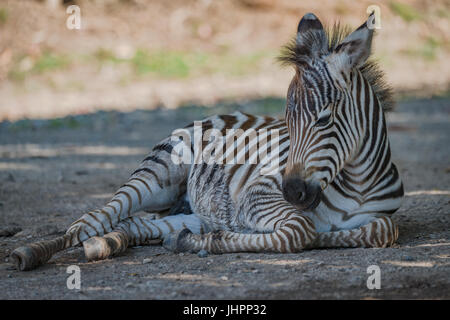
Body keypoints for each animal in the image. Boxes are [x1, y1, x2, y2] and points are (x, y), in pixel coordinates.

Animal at [11, 12, 404, 270]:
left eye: (323, 119)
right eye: (288, 123)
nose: (293, 192)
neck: (357, 185)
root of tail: (218, 114)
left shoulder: (379, 219)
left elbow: (382, 229)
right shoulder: (257, 196)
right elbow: (299, 231)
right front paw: (215, 243)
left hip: (189, 211)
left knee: (132, 226)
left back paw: (108, 244)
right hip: (158, 174)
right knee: (92, 219)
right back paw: (34, 252)